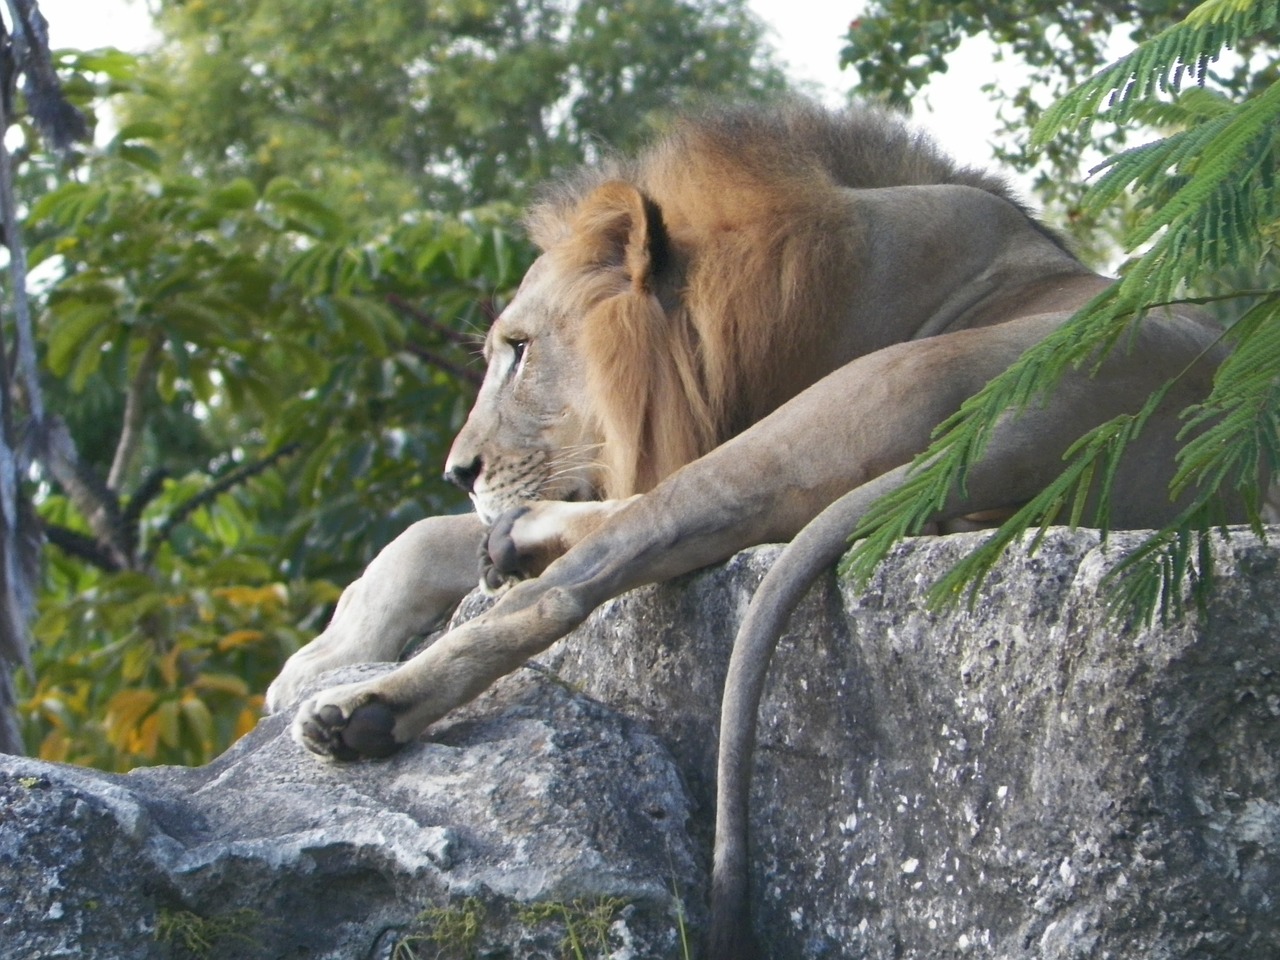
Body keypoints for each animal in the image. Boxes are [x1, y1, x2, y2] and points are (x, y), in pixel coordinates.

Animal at [264, 101, 1233, 957]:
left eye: (519, 349)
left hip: (859, 400)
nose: (457, 469)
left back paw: (369, 708)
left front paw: (336, 665)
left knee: (600, 566)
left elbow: (468, 533)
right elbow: (423, 538)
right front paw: (324, 649)